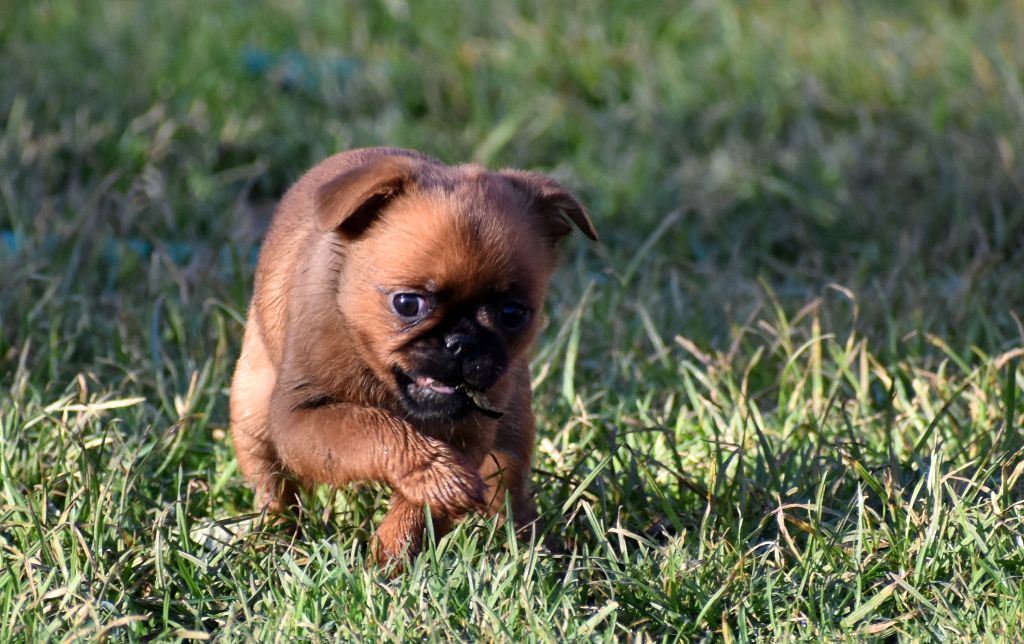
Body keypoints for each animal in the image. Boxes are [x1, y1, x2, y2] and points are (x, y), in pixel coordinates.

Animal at [228, 147, 598, 561]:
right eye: (407, 304)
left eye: (512, 315)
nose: (461, 342)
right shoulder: (300, 420)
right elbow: (375, 428)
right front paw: (435, 474)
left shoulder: (468, 432)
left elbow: (420, 509)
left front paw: (390, 556)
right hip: (252, 409)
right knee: (271, 481)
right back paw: (277, 534)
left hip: (514, 420)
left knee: (509, 485)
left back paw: (533, 545)